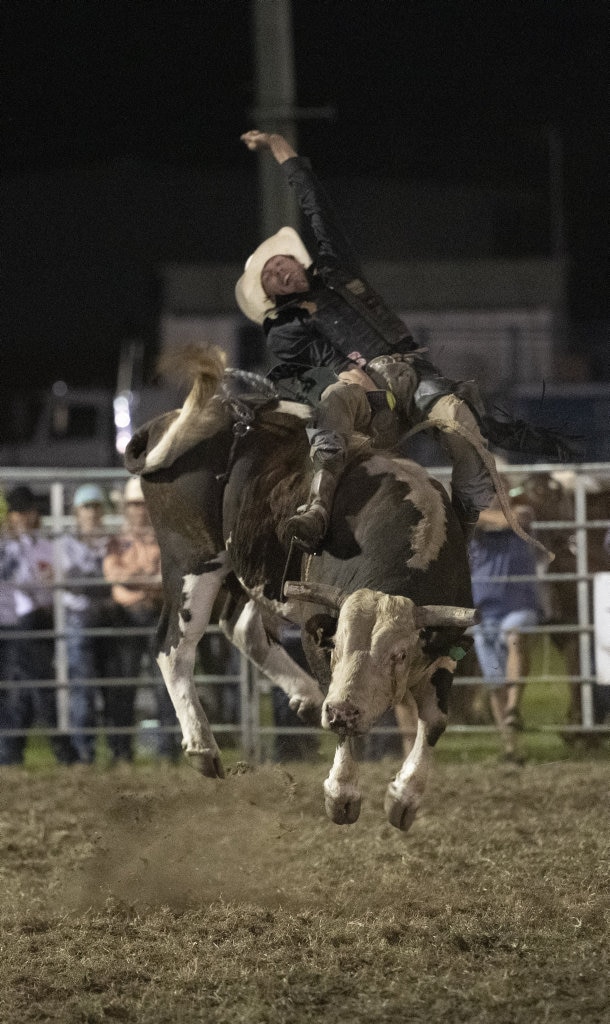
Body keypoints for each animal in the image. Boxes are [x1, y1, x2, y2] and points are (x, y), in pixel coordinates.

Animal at [126, 348, 478, 827]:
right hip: (192, 559)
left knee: (243, 629)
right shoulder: (318, 632)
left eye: (400, 654)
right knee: (173, 646)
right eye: (338, 643)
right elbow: (344, 714)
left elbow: (436, 720)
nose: (340, 712)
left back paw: (306, 698)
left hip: (250, 567)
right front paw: (341, 792)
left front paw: (404, 797)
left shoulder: (446, 639)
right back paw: (203, 746)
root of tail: (166, 423)